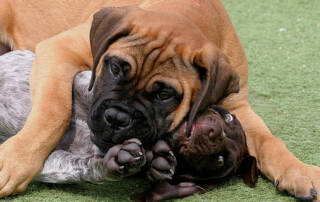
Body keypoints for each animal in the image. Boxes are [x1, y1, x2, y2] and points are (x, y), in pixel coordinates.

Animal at [0, 0, 320, 200]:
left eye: (164, 94)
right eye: (115, 68)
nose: (117, 119)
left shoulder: (237, 106)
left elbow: (269, 141)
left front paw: (301, 172)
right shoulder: (59, 49)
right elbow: (53, 111)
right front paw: (15, 161)